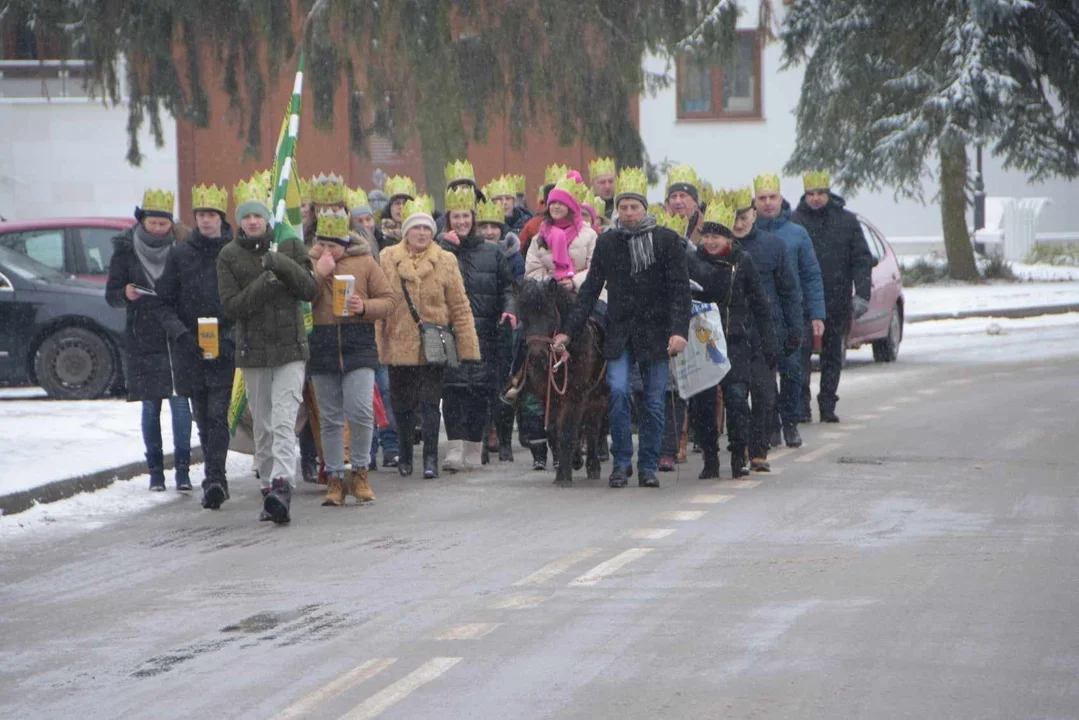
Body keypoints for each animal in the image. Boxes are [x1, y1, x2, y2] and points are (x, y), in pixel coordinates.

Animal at [513, 278, 608, 487]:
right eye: (524, 317)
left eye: (549, 314)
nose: (537, 357)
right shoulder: (550, 397)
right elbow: (555, 430)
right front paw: (571, 462)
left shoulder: (576, 396)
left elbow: (568, 431)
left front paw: (564, 476)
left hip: (599, 397)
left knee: (593, 428)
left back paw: (593, 465)